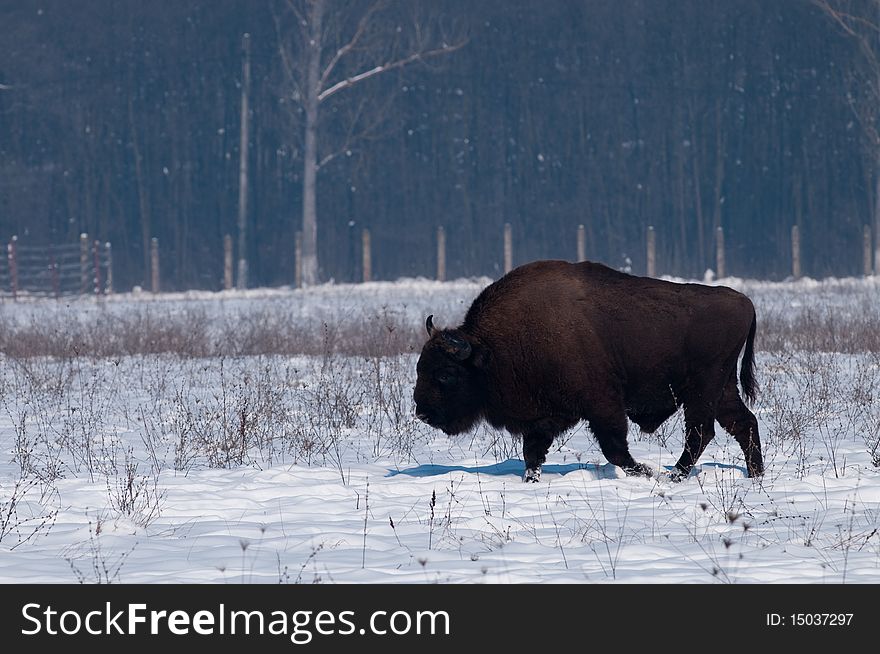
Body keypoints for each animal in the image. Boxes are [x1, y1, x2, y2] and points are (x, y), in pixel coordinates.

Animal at [412, 260, 764, 482]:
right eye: (420, 368)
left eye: (445, 374)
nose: (422, 412)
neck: (488, 349)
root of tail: (746, 303)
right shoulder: (545, 417)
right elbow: (532, 452)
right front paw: (530, 480)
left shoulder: (603, 404)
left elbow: (615, 448)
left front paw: (645, 471)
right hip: (722, 388)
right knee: (743, 423)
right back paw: (756, 475)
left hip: (703, 388)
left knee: (701, 431)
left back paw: (674, 476)